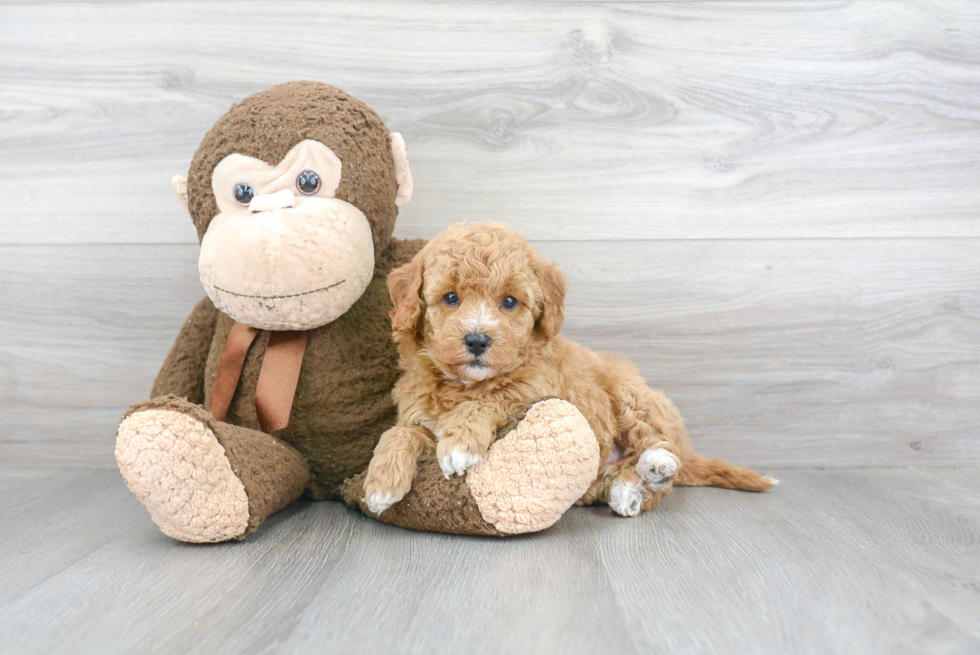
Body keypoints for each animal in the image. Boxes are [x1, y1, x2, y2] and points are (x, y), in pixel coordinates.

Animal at [364, 224, 776, 516]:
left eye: (509, 302)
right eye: (450, 298)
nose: (478, 341)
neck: (464, 384)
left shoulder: (536, 391)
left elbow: (492, 398)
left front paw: (460, 443)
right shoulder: (417, 413)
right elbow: (400, 433)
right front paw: (381, 482)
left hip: (631, 393)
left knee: (659, 448)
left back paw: (657, 467)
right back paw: (629, 488)